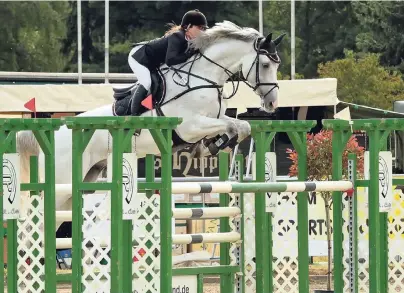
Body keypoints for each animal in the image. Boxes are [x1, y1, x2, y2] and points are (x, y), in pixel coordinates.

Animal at [17, 21, 286, 230]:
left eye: (277, 65)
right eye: (265, 65)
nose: (272, 103)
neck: (205, 77)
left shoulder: (216, 118)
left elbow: (241, 126)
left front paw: (215, 144)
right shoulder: (189, 127)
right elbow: (230, 127)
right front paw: (214, 144)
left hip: (81, 183)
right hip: (61, 184)